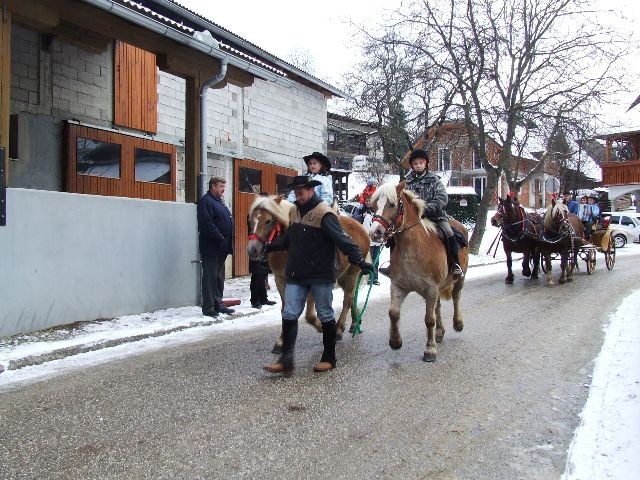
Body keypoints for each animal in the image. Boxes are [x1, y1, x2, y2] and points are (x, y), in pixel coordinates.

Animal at [246, 193, 370, 350]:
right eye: (250, 220)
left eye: (268, 221)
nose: (253, 250)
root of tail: (361, 228)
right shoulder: (280, 280)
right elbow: (285, 310)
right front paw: (282, 341)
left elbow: (310, 315)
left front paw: (324, 329)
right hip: (342, 276)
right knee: (352, 296)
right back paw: (355, 322)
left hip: (352, 273)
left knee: (347, 299)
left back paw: (338, 330)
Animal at [368, 182, 468, 362]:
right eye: (373, 206)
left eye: (392, 204)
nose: (375, 233)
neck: (413, 249)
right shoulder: (399, 287)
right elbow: (393, 313)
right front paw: (395, 342)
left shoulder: (431, 289)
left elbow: (429, 319)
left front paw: (430, 350)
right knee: (438, 306)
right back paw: (439, 332)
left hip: (459, 279)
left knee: (456, 297)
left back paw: (458, 323)